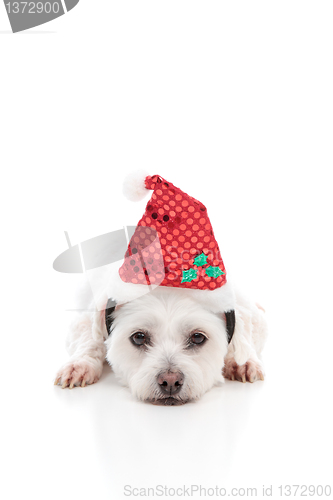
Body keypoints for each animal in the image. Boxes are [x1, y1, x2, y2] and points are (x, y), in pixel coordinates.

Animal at [54, 284, 268, 404]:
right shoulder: (84, 319)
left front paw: (242, 361)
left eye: (198, 338)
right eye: (139, 337)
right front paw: (79, 365)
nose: (170, 381)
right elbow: (90, 339)